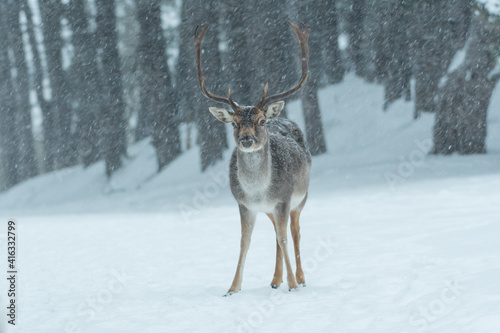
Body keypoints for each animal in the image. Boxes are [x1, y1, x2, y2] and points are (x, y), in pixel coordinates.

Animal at [194, 20, 308, 294]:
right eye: (234, 123)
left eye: (261, 121)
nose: (246, 139)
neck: (258, 191)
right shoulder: (244, 204)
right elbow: (244, 242)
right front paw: (232, 288)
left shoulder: (284, 198)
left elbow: (285, 237)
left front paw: (293, 285)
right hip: (270, 210)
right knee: (277, 235)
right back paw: (275, 280)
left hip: (302, 198)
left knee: (294, 231)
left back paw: (300, 278)